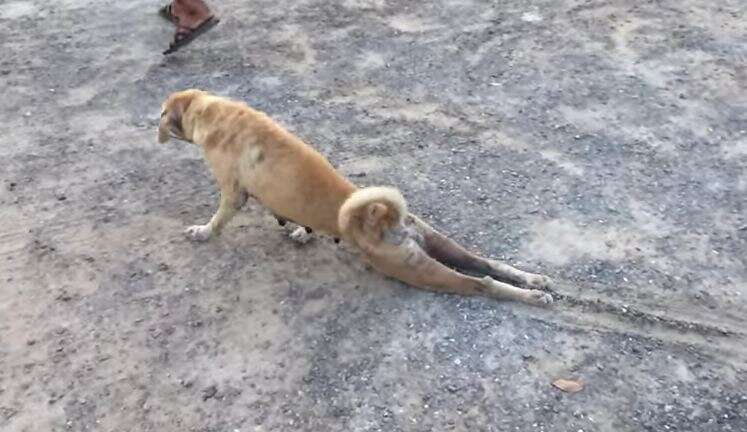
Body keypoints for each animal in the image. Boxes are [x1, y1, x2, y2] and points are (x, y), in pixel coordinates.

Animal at [159, 89, 556, 306]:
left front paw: (202, 232)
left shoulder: (232, 193)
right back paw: (535, 282)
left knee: (482, 284)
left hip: (421, 271)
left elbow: (218, 219)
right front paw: (301, 232)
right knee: (487, 264)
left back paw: (532, 298)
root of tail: (380, 217)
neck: (210, 109)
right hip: (439, 245)